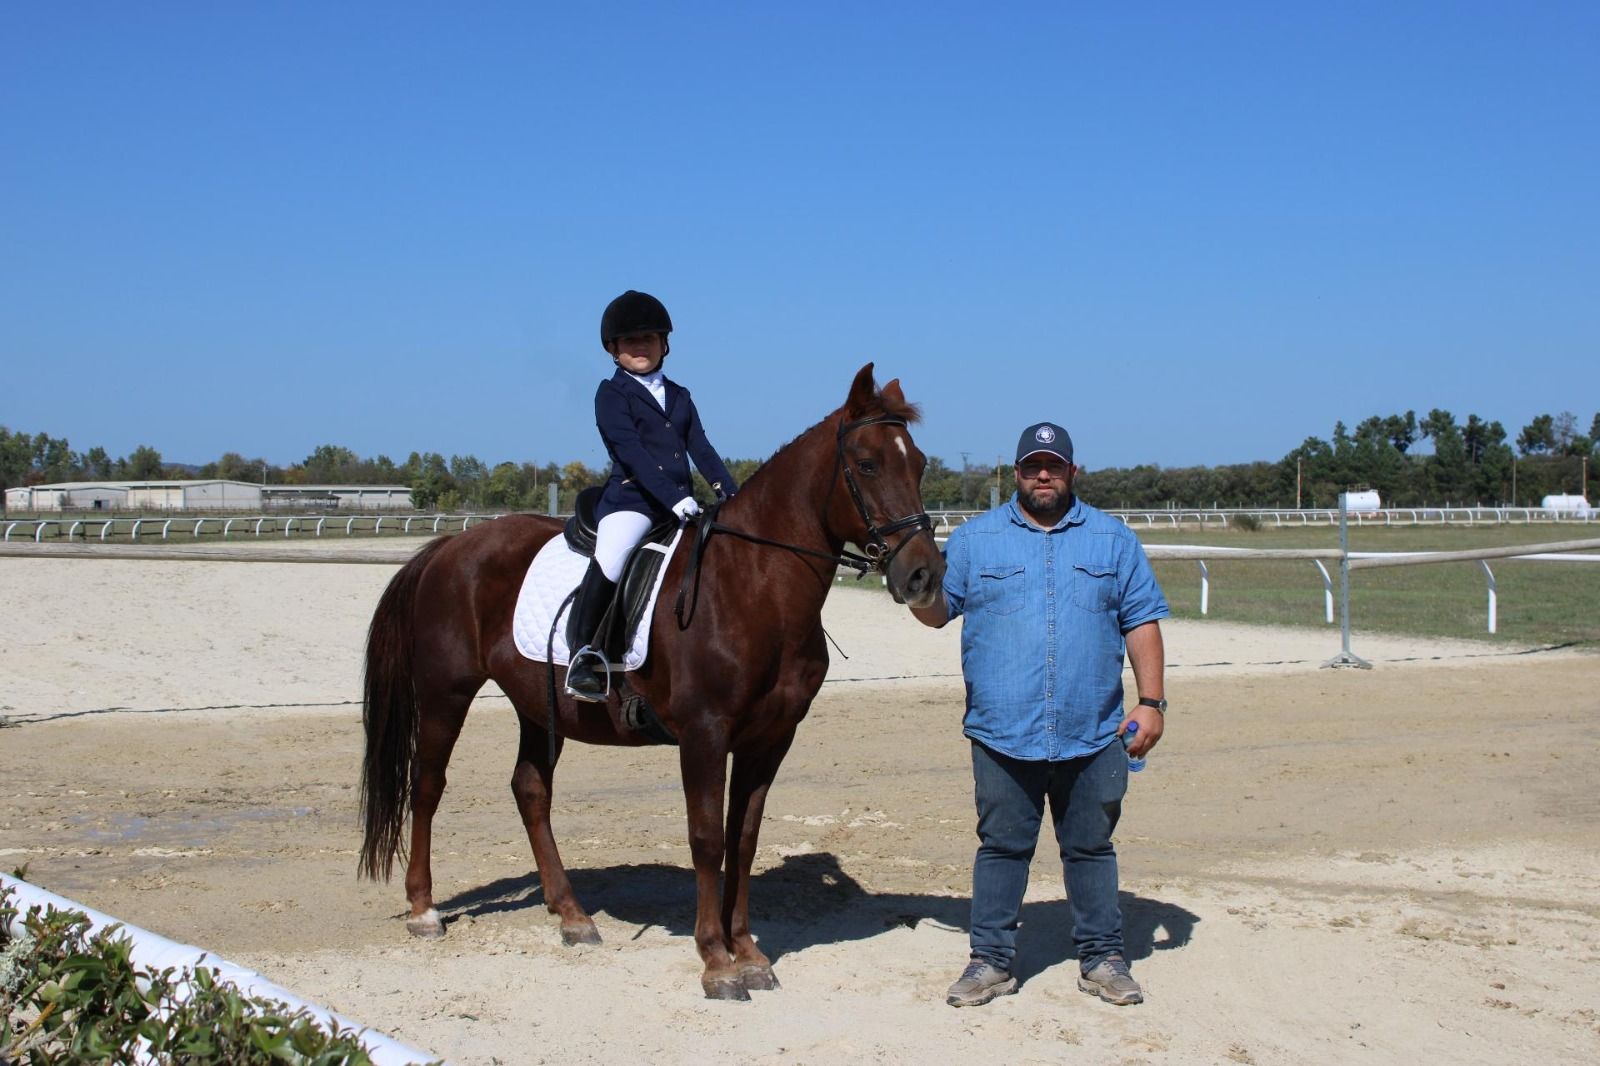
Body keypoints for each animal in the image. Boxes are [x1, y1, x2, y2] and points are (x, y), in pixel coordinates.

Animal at [356, 364, 940, 998]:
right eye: (867, 464)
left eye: (919, 464)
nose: (923, 576)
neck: (754, 585)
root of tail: (449, 547)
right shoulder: (704, 733)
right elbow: (706, 837)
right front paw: (716, 961)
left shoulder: (771, 737)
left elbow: (744, 836)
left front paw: (748, 952)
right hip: (446, 693)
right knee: (428, 785)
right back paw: (424, 910)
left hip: (538, 704)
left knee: (530, 790)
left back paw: (572, 916)